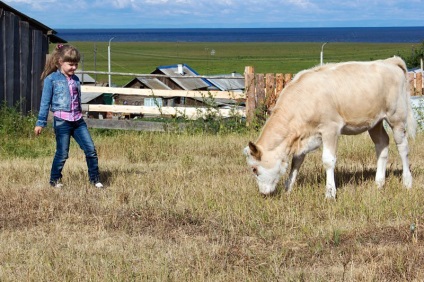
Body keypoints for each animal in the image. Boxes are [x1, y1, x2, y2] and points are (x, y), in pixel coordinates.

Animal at [243, 55, 416, 198]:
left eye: (254, 169)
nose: (263, 193)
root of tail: (389, 61)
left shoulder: (330, 129)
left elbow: (328, 160)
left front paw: (330, 193)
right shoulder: (305, 135)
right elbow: (296, 161)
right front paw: (288, 188)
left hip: (397, 117)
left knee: (403, 147)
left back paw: (407, 181)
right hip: (374, 122)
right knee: (382, 144)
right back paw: (379, 182)